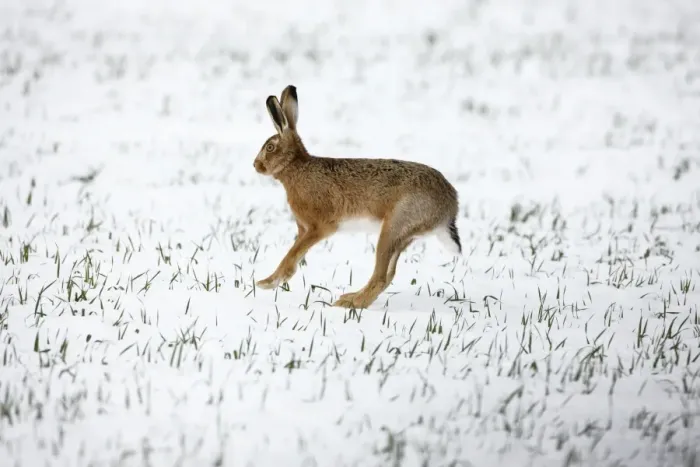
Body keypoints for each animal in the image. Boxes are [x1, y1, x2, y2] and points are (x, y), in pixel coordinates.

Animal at [253, 85, 461, 309]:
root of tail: (449, 206)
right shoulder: (304, 229)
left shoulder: (319, 227)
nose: (255, 165)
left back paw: (350, 303)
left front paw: (267, 282)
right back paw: (351, 298)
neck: (296, 167)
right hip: (400, 235)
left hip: (394, 227)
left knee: (381, 276)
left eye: (270, 147)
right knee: (388, 275)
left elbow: (292, 255)